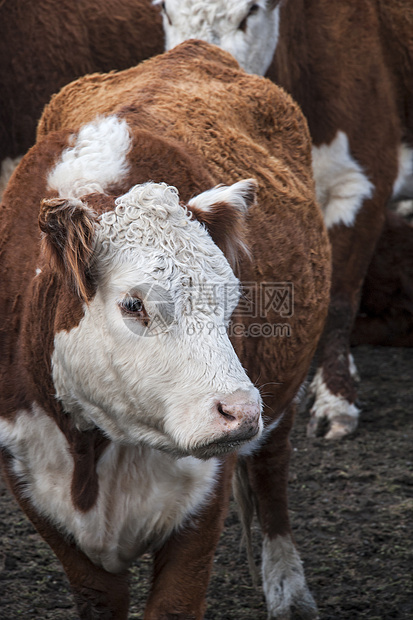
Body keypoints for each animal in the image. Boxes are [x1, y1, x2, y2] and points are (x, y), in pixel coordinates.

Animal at [0, 42, 328, 620]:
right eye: (134, 304)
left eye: (232, 297)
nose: (239, 411)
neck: (92, 447)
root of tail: (193, 50)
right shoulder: (35, 488)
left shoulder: (202, 506)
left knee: (272, 466)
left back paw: (288, 587)